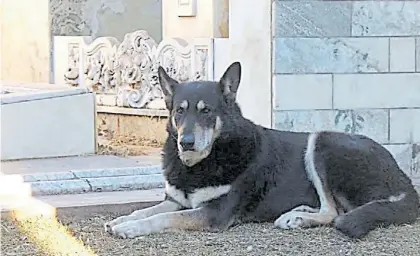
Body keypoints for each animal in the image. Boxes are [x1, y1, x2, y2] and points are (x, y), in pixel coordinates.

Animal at [105, 61, 420, 239]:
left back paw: (299, 218)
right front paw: (121, 220)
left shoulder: (214, 213)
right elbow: (146, 210)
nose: (187, 142)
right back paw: (298, 212)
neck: (205, 160)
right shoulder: (177, 201)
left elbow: (161, 217)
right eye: (179, 112)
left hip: (322, 141)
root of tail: (403, 180)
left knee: (333, 212)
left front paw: (129, 229)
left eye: (207, 111)